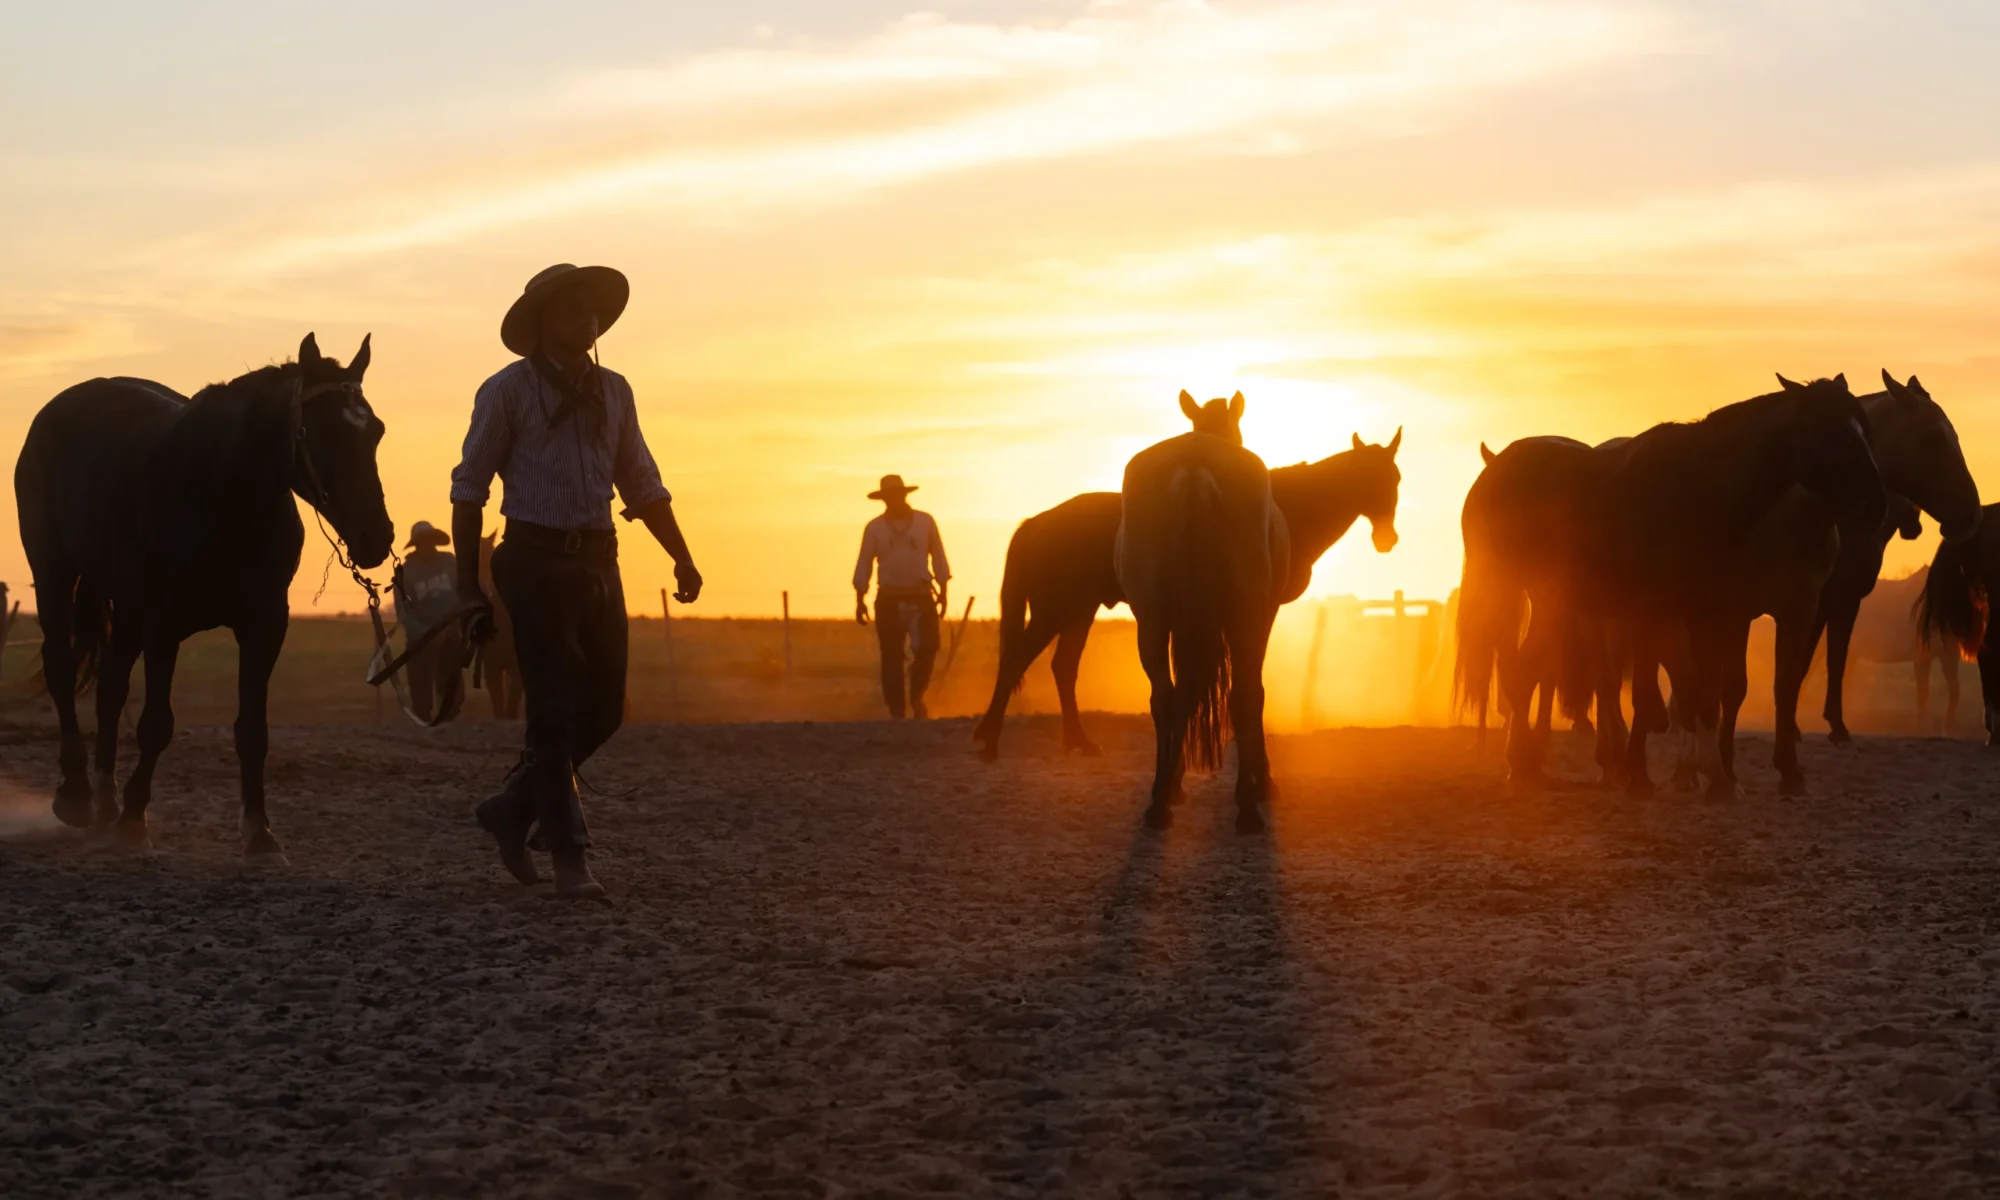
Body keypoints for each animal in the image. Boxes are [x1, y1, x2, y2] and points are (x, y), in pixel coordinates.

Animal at [14, 333, 394, 858]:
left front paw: (259, 832)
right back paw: (77, 796)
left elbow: (252, 730)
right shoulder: (163, 625)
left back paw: (106, 799)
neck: (222, 495)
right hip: (56, 575)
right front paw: (134, 820)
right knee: (61, 667)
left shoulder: (265, 625)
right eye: (319, 431)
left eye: (374, 430)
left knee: (110, 687)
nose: (376, 537)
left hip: (125, 608)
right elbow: (156, 723)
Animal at [972, 430, 1401, 761]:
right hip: (1055, 610)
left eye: (1394, 478)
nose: (1387, 539)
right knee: (1016, 659)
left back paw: (1079, 742)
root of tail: (1034, 524)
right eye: (1378, 477)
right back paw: (991, 740)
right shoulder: (1260, 610)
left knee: (1063, 667)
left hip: (1079, 610)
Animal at [1117, 425, 1287, 832]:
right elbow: (1255, 695)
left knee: (1165, 698)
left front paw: (1173, 781)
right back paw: (1247, 806)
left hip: (1151, 621)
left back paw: (1159, 803)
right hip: (1245, 617)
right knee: (1242, 696)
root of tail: (1193, 468)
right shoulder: (1263, 616)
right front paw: (1264, 781)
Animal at [1459, 377, 1886, 793]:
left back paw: (1528, 765)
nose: (1875, 504)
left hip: (1552, 599)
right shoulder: (1663, 612)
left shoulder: (1706, 614)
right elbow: (1666, 692)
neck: (1696, 491)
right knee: (1521, 672)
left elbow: (1702, 693)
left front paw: (1709, 774)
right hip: (1524, 593)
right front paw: (1658, 773)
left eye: (1864, 429)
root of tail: (1495, 468)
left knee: (1525, 671)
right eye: (1825, 429)